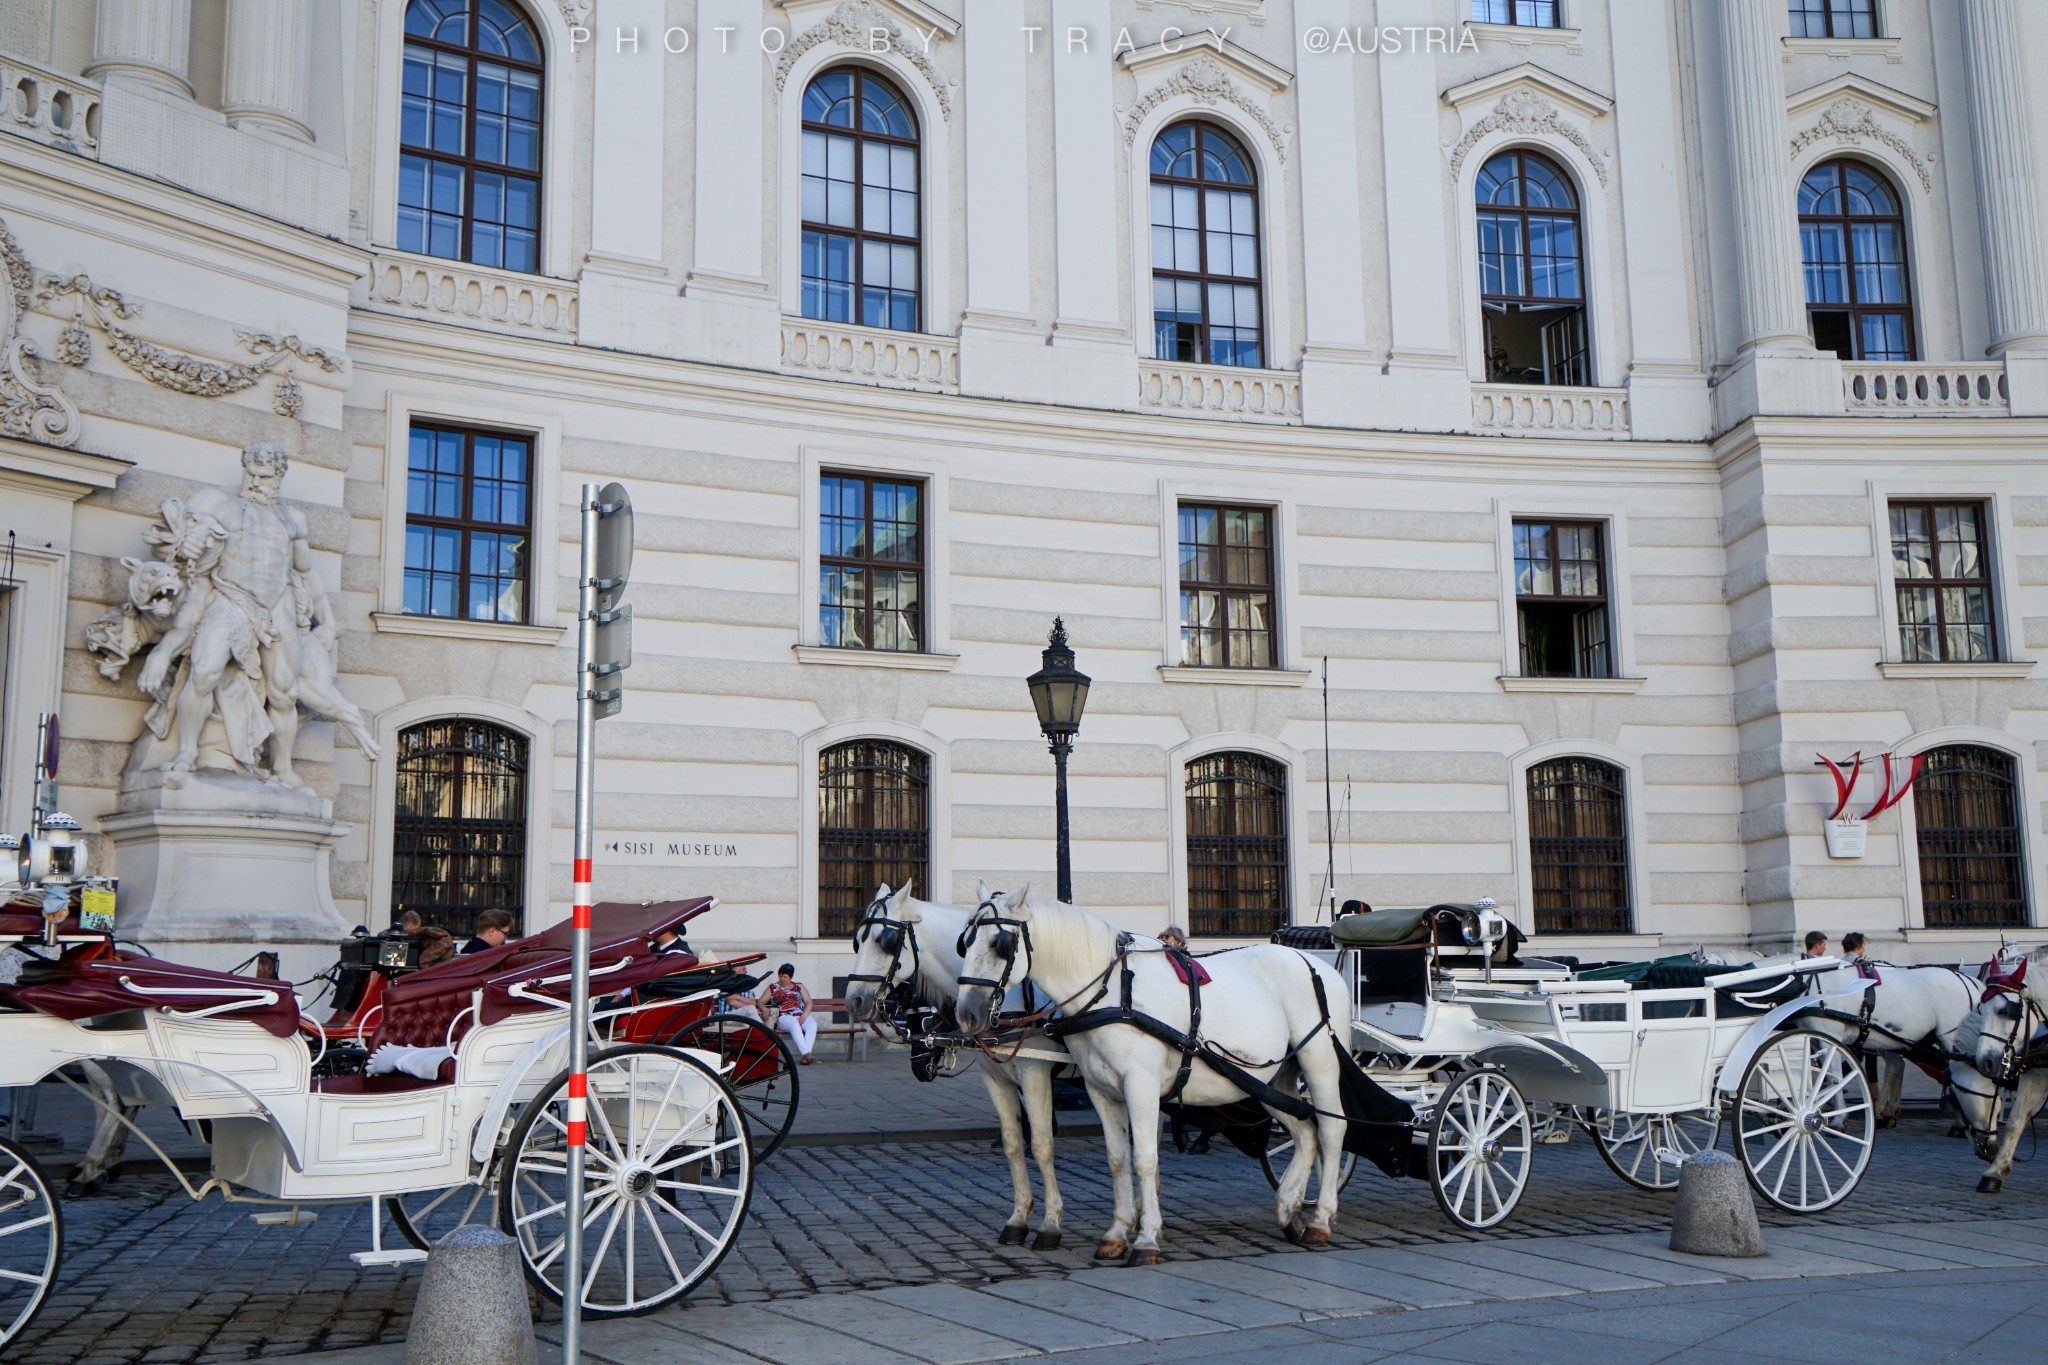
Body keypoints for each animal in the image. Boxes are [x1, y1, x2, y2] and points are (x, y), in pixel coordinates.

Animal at [847, 888, 1073, 1252]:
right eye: (857, 941)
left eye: (886, 941)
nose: (853, 1001)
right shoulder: (995, 1076)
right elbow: (1012, 1142)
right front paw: (1018, 1219)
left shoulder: (1035, 1072)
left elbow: (1042, 1144)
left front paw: (1051, 1223)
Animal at [954, 892, 1351, 1268]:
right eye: (965, 942)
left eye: (1000, 944)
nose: (966, 1015)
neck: (1111, 991)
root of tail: (1316, 964)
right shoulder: (1100, 1090)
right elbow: (1117, 1158)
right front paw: (1116, 1234)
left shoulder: (1136, 1084)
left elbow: (1143, 1158)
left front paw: (1145, 1239)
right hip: (1270, 1081)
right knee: (1305, 1131)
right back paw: (1288, 1208)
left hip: (1319, 1062)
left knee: (1332, 1131)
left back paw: (1320, 1218)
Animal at [1949, 945, 2048, 1186]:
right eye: (1981, 1010)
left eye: (2006, 1011)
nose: (1984, 1151)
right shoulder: (2037, 1074)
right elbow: (2016, 1119)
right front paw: (1996, 1171)